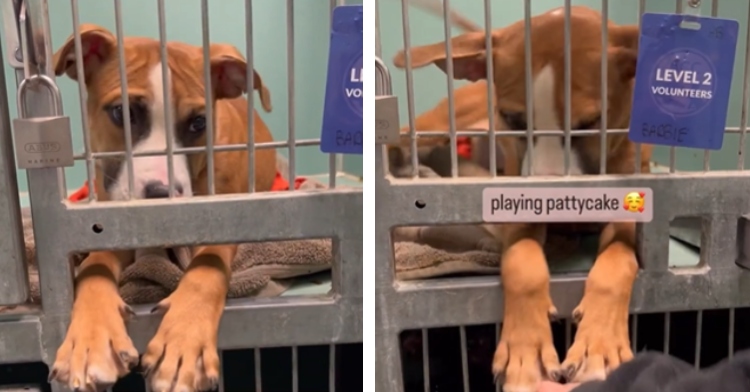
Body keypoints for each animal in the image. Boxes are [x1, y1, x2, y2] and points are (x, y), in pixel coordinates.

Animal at [50, 24, 280, 392]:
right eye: (123, 113)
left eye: (199, 122)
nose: (161, 192)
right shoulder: (111, 223)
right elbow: (94, 265)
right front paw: (88, 341)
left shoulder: (223, 222)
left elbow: (205, 270)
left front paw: (183, 345)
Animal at [394, 5, 652, 392]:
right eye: (512, 119)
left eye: (590, 122)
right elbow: (521, 262)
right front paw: (525, 348)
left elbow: (618, 261)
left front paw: (599, 344)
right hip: (434, 126)